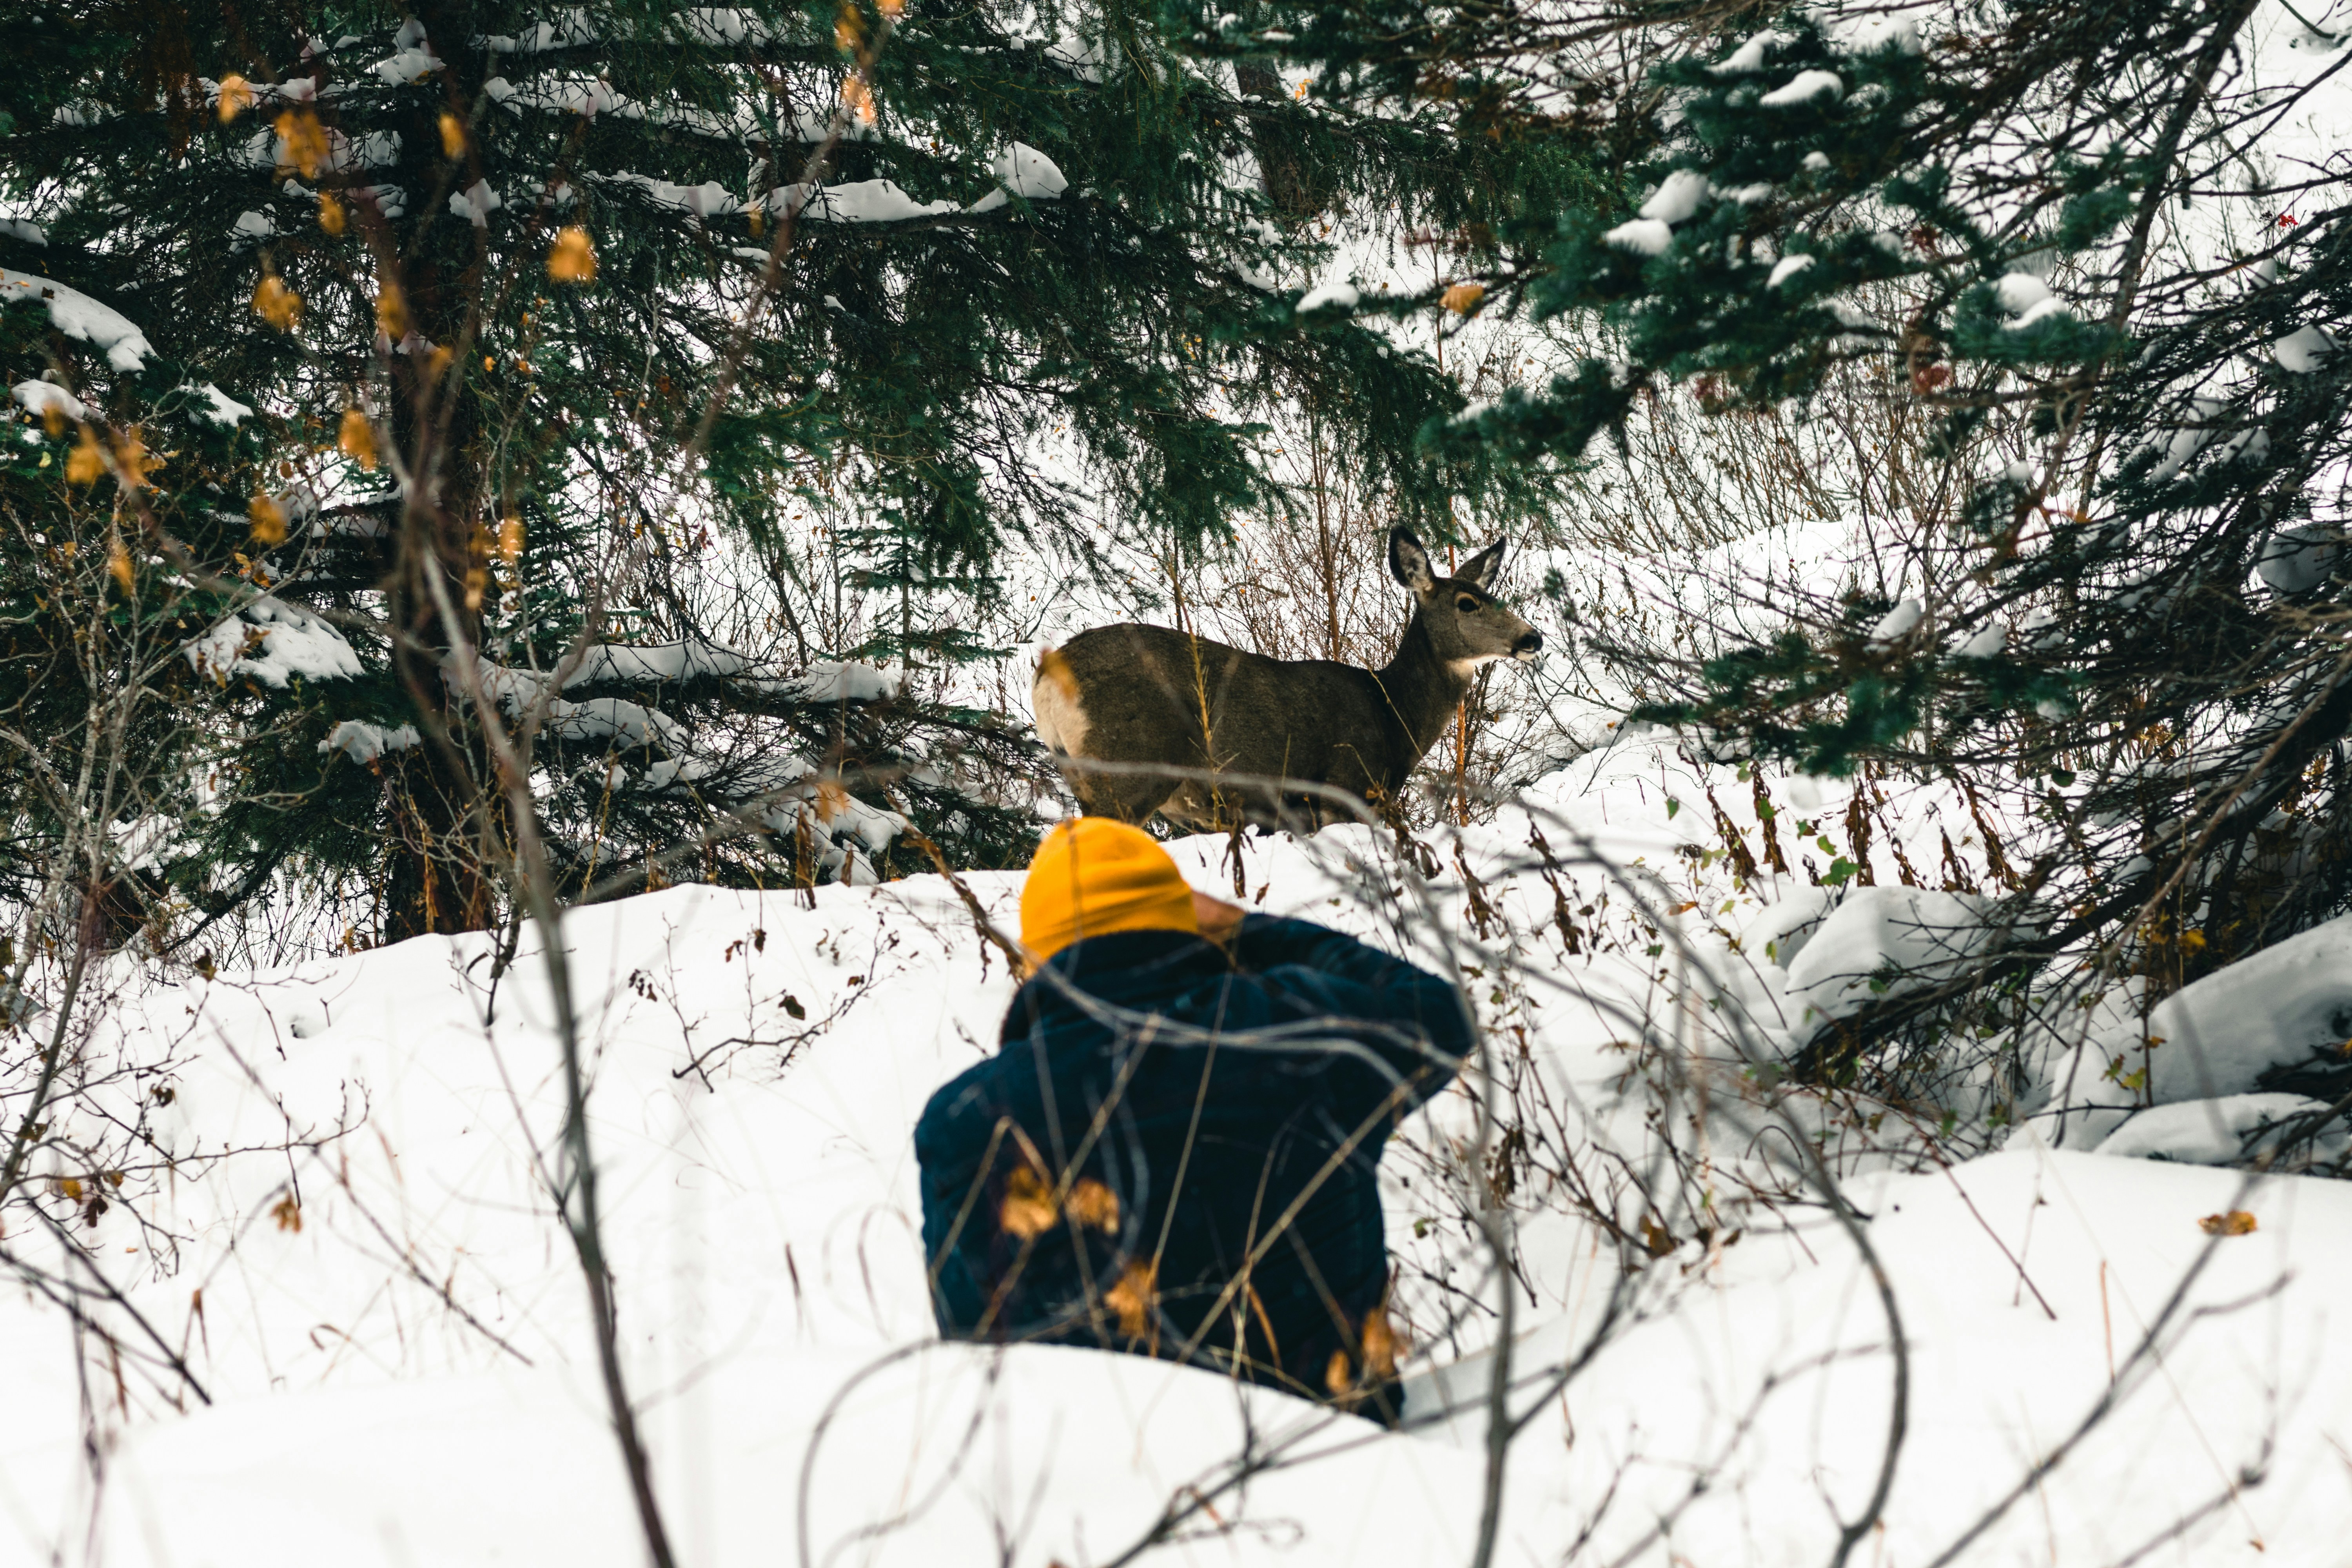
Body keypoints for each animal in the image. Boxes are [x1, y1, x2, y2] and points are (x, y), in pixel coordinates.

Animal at [1031, 528, 1542, 830]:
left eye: (1491, 594)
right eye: (1467, 603)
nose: (1532, 637)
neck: (1394, 716)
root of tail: (1046, 677)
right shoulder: (1346, 791)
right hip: (1129, 765)